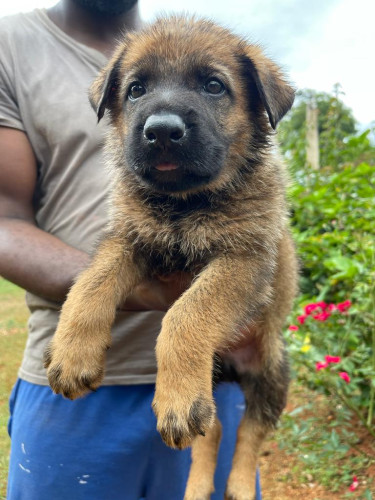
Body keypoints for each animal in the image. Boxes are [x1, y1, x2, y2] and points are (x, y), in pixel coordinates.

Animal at [44, 16, 300, 500]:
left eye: (214, 86)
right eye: (136, 90)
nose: (161, 130)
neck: (185, 204)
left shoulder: (246, 258)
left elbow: (187, 313)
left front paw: (175, 398)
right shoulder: (129, 238)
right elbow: (90, 284)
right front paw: (72, 352)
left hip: (271, 372)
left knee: (250, 432)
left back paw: (239, 483)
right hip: (214, 380)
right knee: (213, 430)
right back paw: (197, 484)